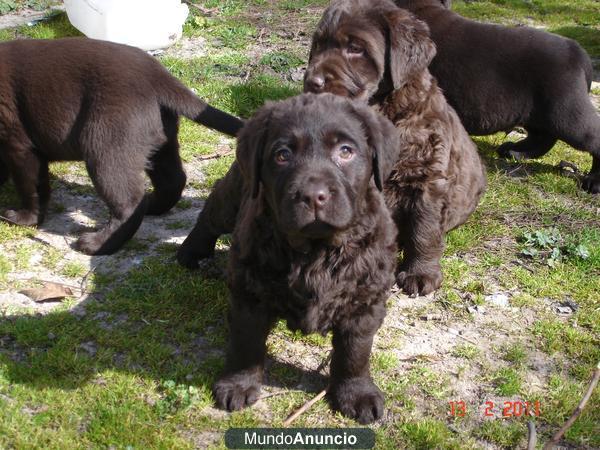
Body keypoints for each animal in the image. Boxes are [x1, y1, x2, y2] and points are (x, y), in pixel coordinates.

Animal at [210, 93, 398, 424]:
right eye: (282, 155)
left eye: (345, 151)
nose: (313, 195)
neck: (316, 252)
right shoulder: (250, 292)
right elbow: (246, 343)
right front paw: (238, 383)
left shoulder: (364, 300)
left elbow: (355, 352)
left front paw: (356, 393)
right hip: (233, 195)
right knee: (211, 209)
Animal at [304, 0, 488, 296]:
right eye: (318, 45)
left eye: (355, 48)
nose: (313, 81)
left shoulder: (427, 180)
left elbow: (424, 231)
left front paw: (420, 273)